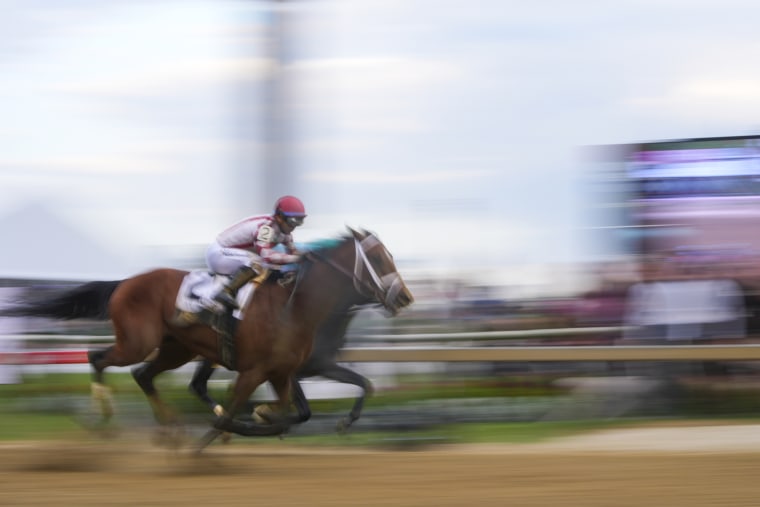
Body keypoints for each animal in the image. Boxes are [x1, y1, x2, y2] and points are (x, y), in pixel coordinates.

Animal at [189, 303, 375, 435]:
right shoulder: (287, 372)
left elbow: (364, 382)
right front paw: (263, 414)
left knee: (201, 385)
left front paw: (345, 422)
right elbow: (302, 411)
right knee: (199, 385)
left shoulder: (324, 367)